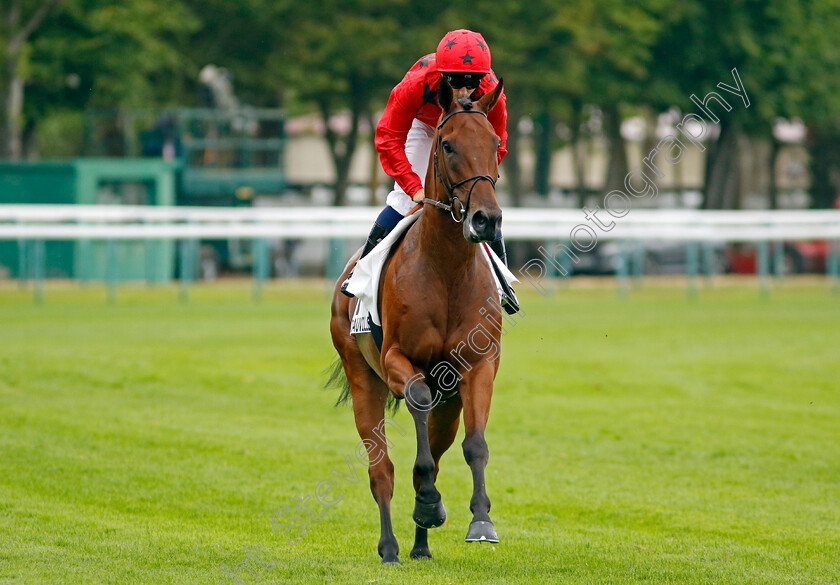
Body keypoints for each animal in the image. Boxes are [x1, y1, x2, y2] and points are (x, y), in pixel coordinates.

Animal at [328, 76, 506, 560]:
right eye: (447, 144)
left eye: (495, 142)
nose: (486, 219)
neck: (445, 268)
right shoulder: (398, 360)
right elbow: (418, 400)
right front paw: (428, 504)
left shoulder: (478, 365)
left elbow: (475, 444)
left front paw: (480, 520)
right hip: (362, 378)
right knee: (382, 468)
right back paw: (390, 545)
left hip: (450, 402)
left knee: (435, 453)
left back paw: (421, 545)